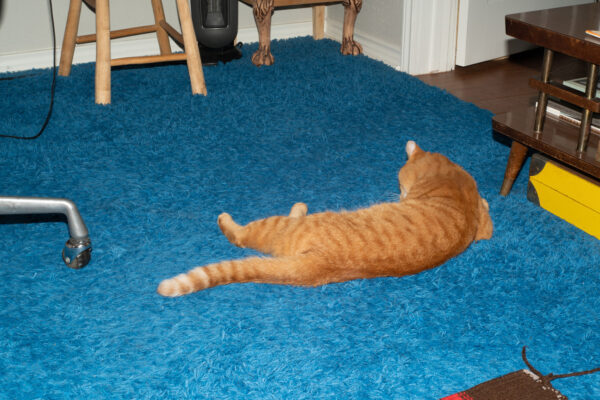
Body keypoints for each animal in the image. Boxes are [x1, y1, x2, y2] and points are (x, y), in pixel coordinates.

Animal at [159, 141, 492, 296]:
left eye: (400, 184)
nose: (400, 195)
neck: (450, 183)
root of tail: (320, 266)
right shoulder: (480, 213)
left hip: (277, 227)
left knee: (241, 236)